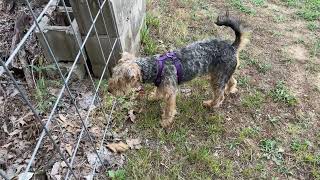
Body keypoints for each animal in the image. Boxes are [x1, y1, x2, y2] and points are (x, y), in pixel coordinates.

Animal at [107, 12, 250, 128]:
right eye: (113, 74)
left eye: (120, 81)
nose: (109, 90)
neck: (155, 67)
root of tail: (232, 47)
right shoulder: (162, 85)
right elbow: (158, 92)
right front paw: (154, 97)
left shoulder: (170, 93)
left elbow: (169, 110)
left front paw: (165, 121)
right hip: (220, 73)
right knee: (232, 81)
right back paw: (230, 89)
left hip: (217, 78)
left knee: (219, 96)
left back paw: (210, 104)